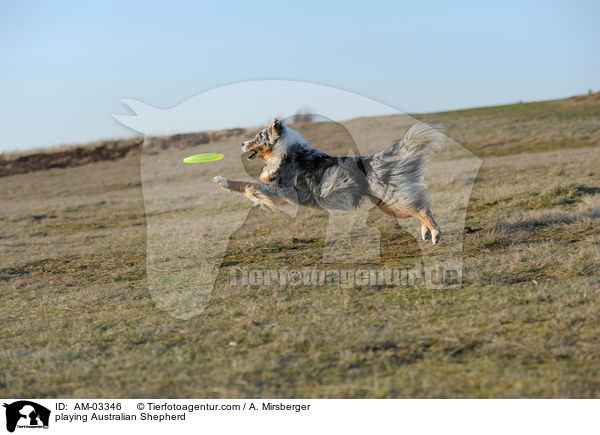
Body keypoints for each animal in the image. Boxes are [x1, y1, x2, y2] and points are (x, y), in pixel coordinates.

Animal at [213, 118, 442, 245]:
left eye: (258, 137)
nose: (241, 143)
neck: (284, 151)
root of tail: (378, 158)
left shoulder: (277, 190)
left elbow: (247, 185)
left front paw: (221, 180)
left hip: (393, 199)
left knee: (422, 209)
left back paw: (435, 233)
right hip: (388, 204)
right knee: (421, 207)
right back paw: (426, 232)